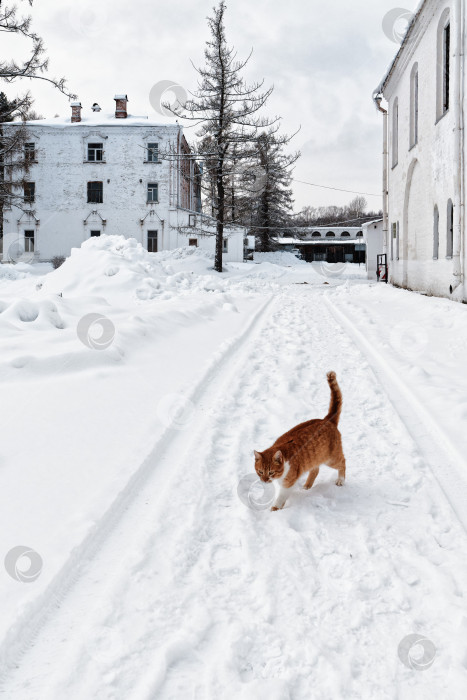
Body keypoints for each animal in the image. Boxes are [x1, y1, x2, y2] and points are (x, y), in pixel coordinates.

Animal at [254, 372, 346, 516]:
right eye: (260, 471)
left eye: (271, 472)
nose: (264, 481)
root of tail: (327, 419)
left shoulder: (288, 483)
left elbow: (280, 498)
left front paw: (275, 509)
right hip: (315, 458)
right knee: (315, 469)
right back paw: (307, 486)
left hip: (331, 459)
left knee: (343, 462)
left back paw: (341, 480)